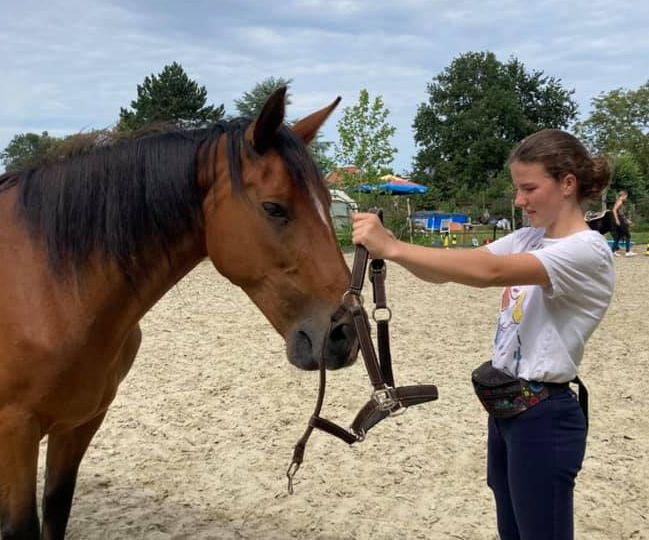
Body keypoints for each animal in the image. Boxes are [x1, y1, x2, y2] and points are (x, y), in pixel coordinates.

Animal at [0, 88, 356, 540]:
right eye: (274, 207)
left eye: (329, 204)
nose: (345, 334)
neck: (47, 283)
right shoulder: (14, 434)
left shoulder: (78, 425)